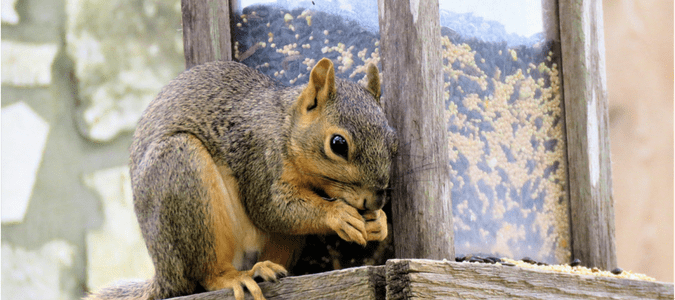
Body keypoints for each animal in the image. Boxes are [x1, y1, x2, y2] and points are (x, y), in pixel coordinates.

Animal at [86, 56, 398, 300]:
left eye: (394, 141)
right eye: (338, 144)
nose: (375, 201)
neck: (284, 127)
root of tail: (164, 276)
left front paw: (379, 223)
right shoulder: (257, 157)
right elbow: (272, 209)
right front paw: (338, 214)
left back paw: (264, 269)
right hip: (183, 175)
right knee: (206, 273)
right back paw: (236, 276)